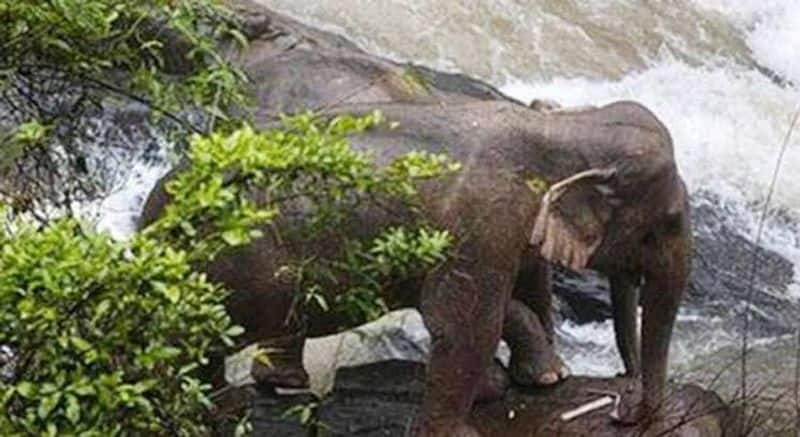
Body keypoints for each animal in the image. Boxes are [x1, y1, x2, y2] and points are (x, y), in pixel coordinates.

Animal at [138, 96, 688, 436]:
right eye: (668, 222)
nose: (622, 411)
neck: (564, 128)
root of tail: (152, 212)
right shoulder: (483, 223)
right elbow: (464, 323)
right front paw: (467, 425)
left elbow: (514, 298)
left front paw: (536, 380)